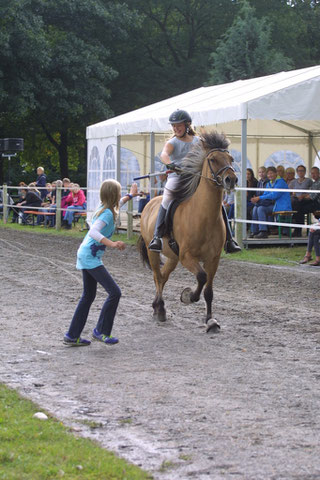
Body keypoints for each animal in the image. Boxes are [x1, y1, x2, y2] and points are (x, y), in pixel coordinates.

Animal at [138, 133, 238, 332]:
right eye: (213, 159)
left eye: (230, 159)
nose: (231, 179)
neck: (203, 216)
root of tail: (150, 203)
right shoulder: (187, 256)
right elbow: (201, 276)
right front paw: (188, 296)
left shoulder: (213, 259)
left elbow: (208, 290)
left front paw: (210, 321)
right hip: (154, 253)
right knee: (156, 276)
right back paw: (160, 309)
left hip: (172, 257)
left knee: (163, 277)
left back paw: (158, 307)